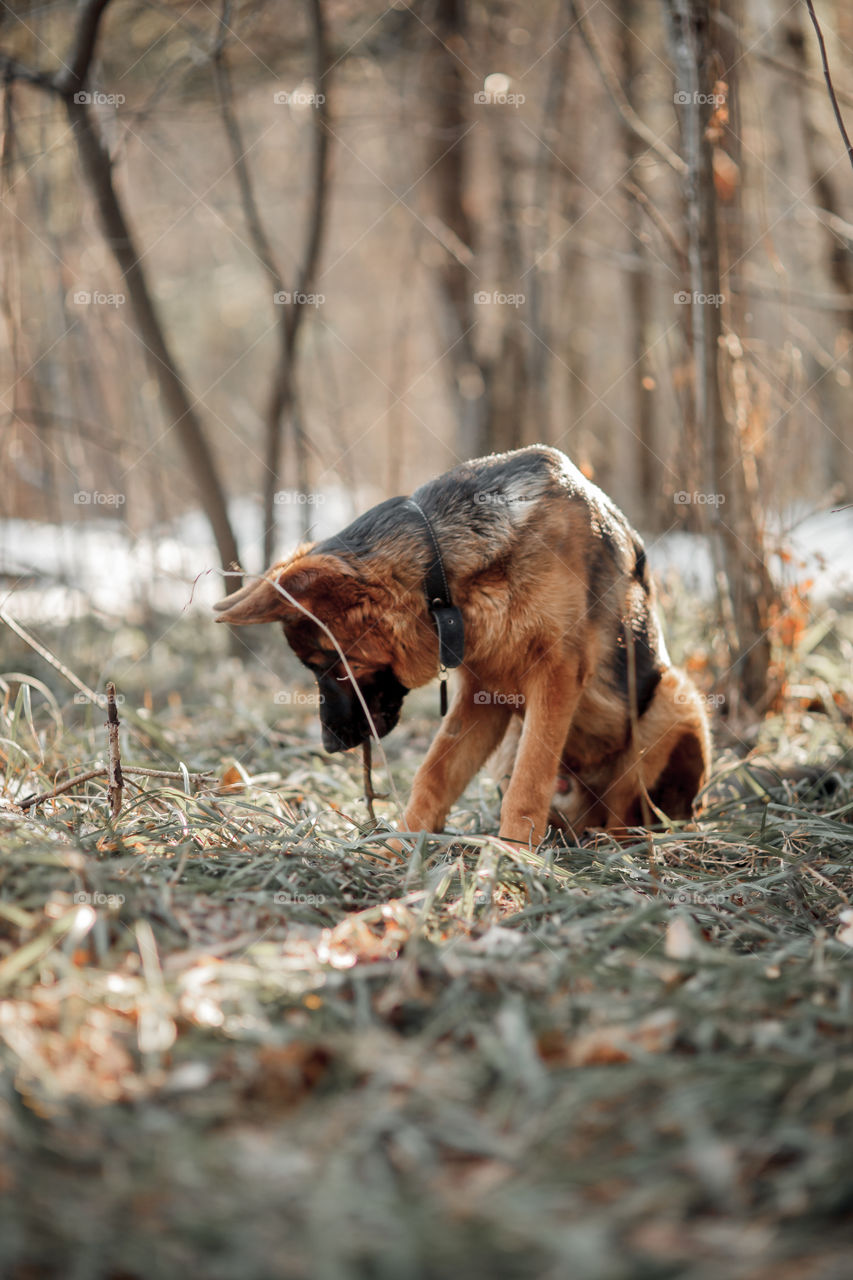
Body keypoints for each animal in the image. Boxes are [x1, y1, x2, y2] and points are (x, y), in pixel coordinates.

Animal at [216, 445, 706, 844]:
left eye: (333, 664)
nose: (329, 745)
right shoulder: (484, 694)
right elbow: (435, 774)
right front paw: (398, 849)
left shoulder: (556, 676)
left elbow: (529, 783)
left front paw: (512, 861)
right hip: (514, 737)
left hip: (673, 700)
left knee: (627, 811)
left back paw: (621, 845)